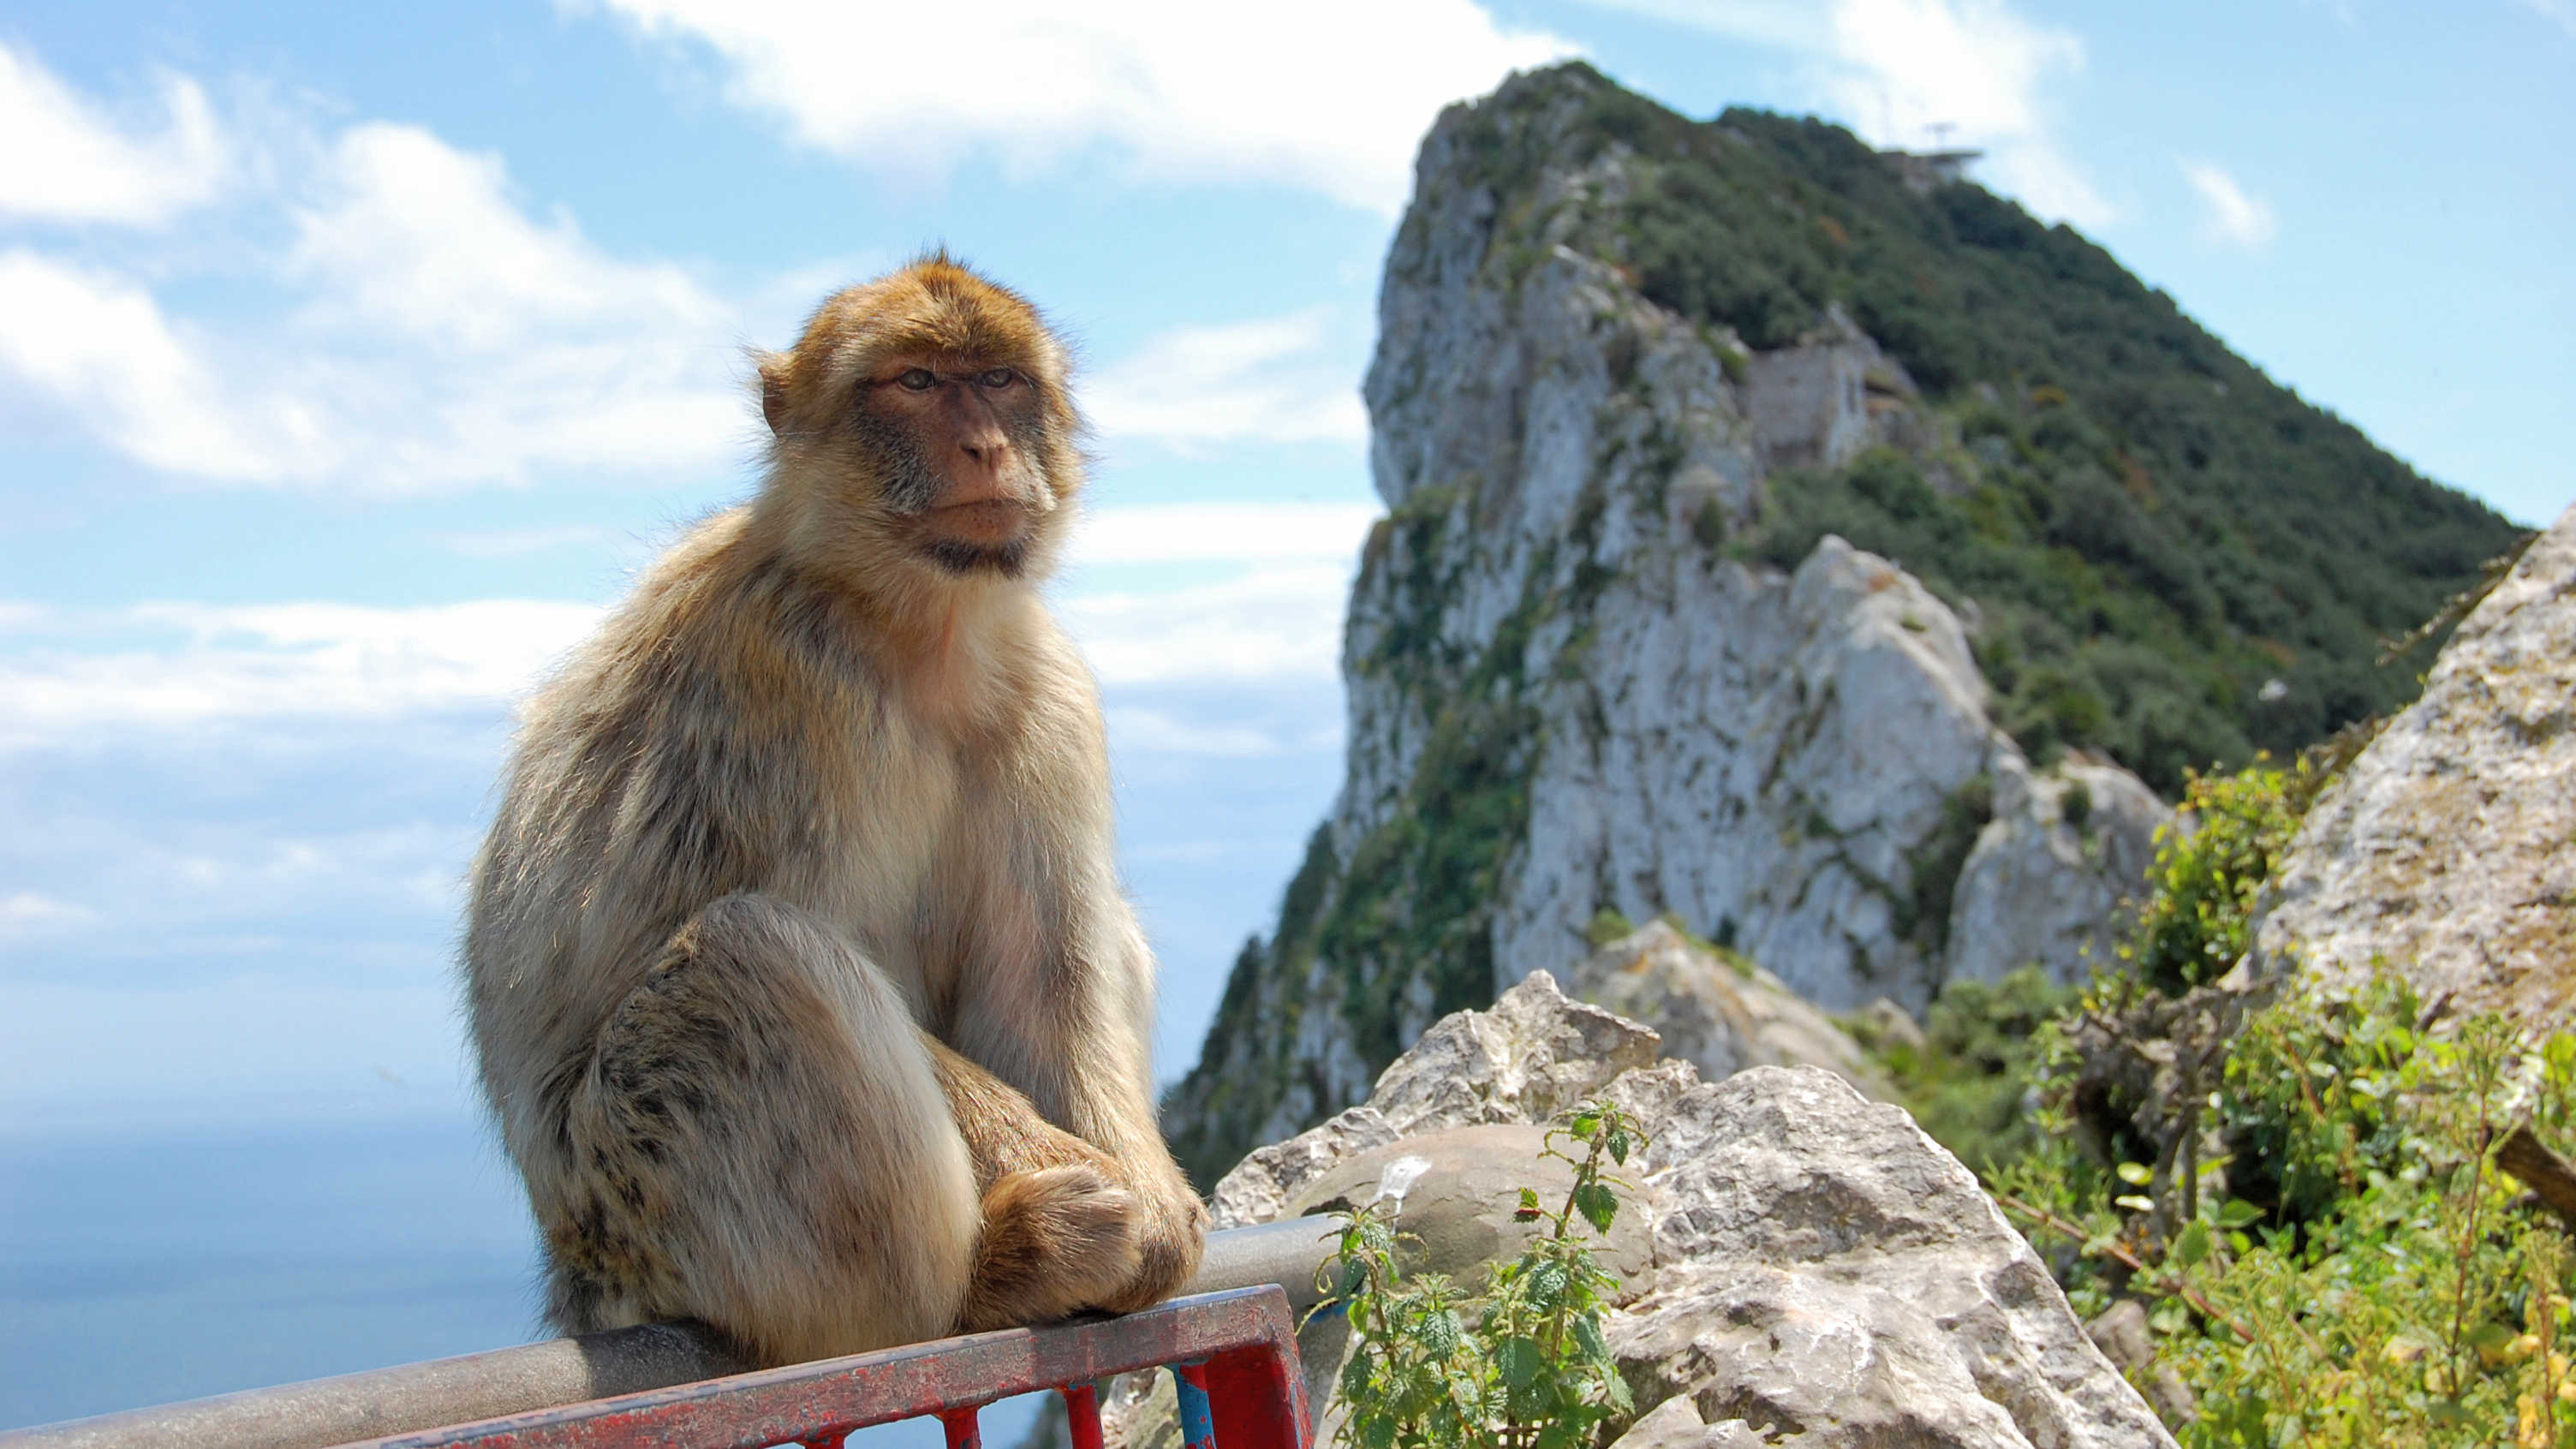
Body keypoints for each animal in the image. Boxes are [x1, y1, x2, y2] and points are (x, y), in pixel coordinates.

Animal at [461, 251, 1205, 1361]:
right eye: (915, 384)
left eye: (998, 381)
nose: (985, 446)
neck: (917, 632)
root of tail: (573, 1279)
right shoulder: (790, 694)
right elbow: (819, 936)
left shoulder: (1051, 695)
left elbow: (1047, 977)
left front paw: (1156, 1211)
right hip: (635, 1196)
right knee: (752, 955)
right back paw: (993, 1276)